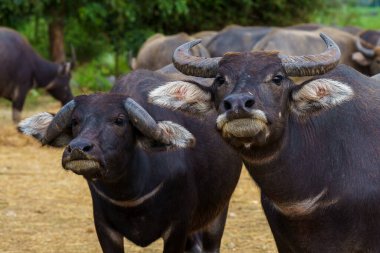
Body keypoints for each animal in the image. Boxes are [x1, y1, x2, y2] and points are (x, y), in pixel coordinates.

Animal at [17, 70, 242, 253]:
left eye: (119, 120)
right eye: (75, 121)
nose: (78, 149)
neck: (132, 191)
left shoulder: (178, 227)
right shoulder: (105, 228)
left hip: (218, 213)